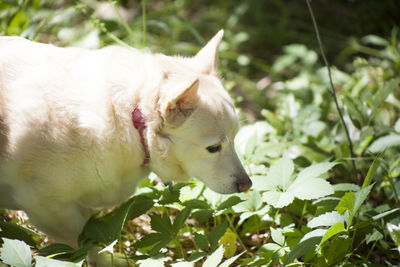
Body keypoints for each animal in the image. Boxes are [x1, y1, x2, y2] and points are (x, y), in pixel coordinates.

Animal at [0, 31, 250, 266]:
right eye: (213, 148)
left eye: (234, 139)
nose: (247, 185)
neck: (132, 118)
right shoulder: (47, 208)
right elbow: (85, 242)